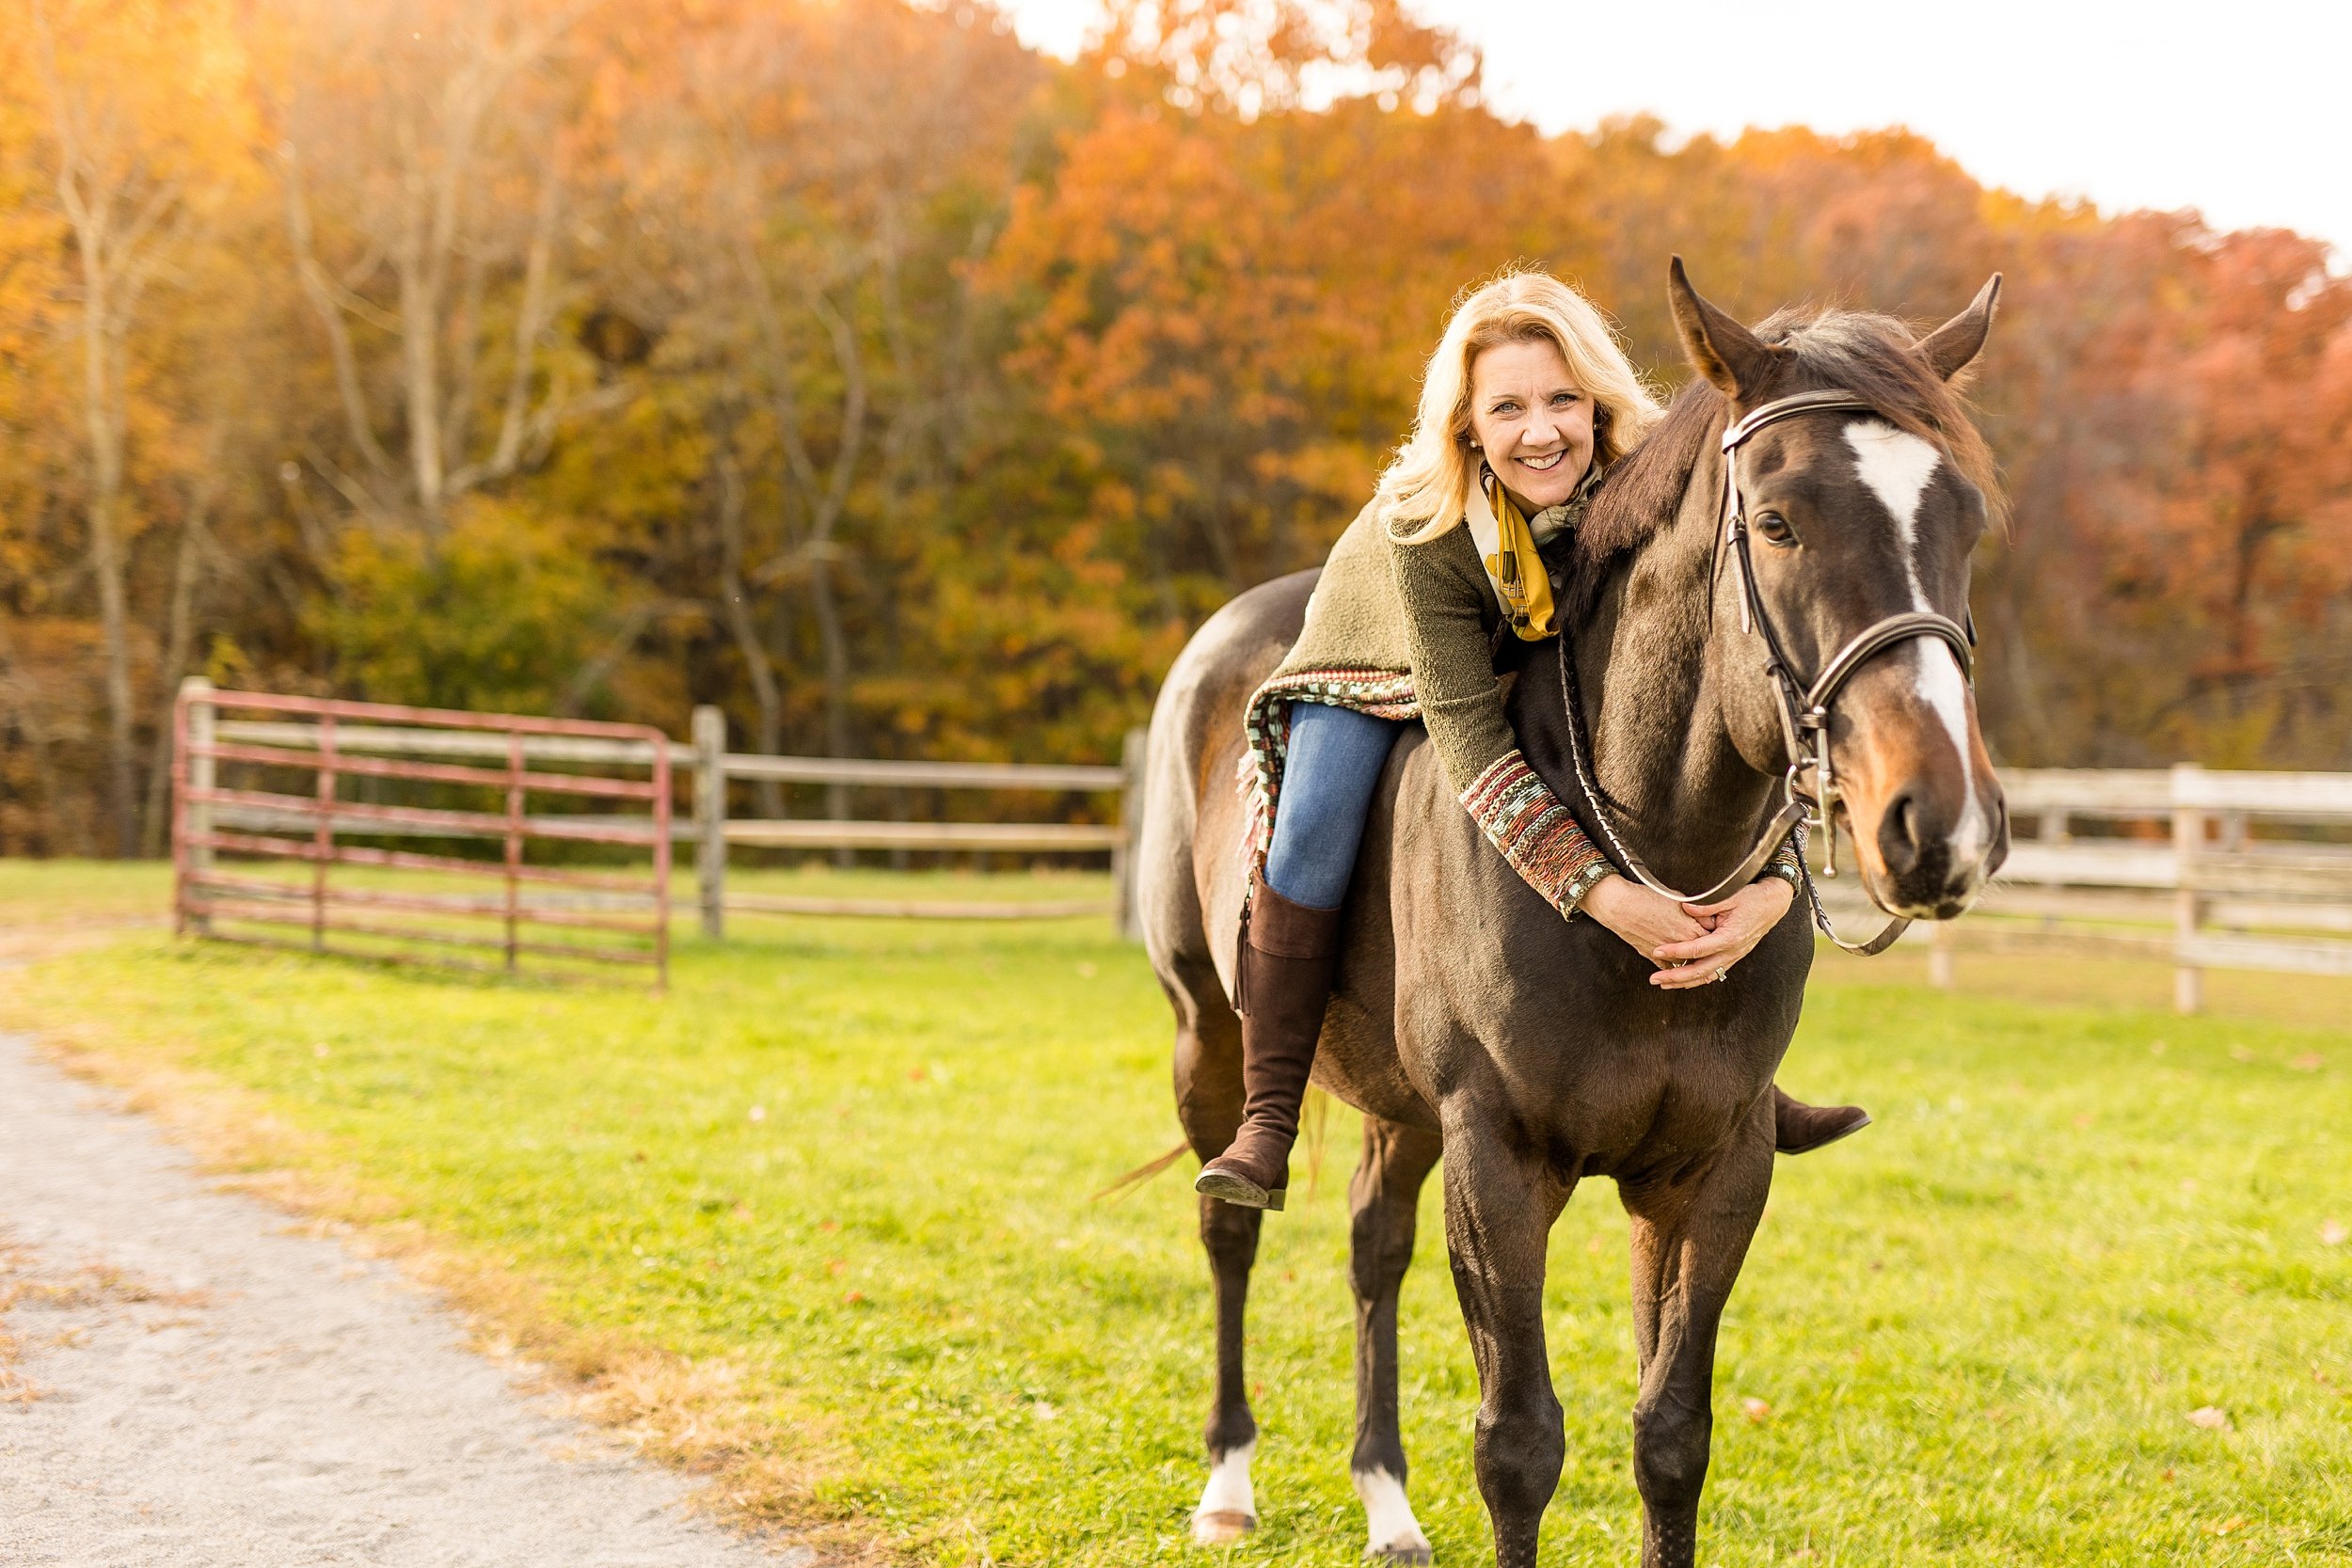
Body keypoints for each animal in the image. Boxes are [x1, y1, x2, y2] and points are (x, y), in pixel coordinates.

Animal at [1134, 261, 2004, 1568]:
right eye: (1779, 521)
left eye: (1963, 521)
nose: (1937, 821)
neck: (1652, 848)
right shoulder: (1497, 1158)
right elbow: (1518, 1441)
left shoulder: (1714, 1166)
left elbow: (1671, 1434)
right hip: (1211, 1032)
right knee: (1230, 1227)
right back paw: (1228, 1480)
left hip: (1401, 1105)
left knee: (1371, 1244)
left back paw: (1386, 1501)